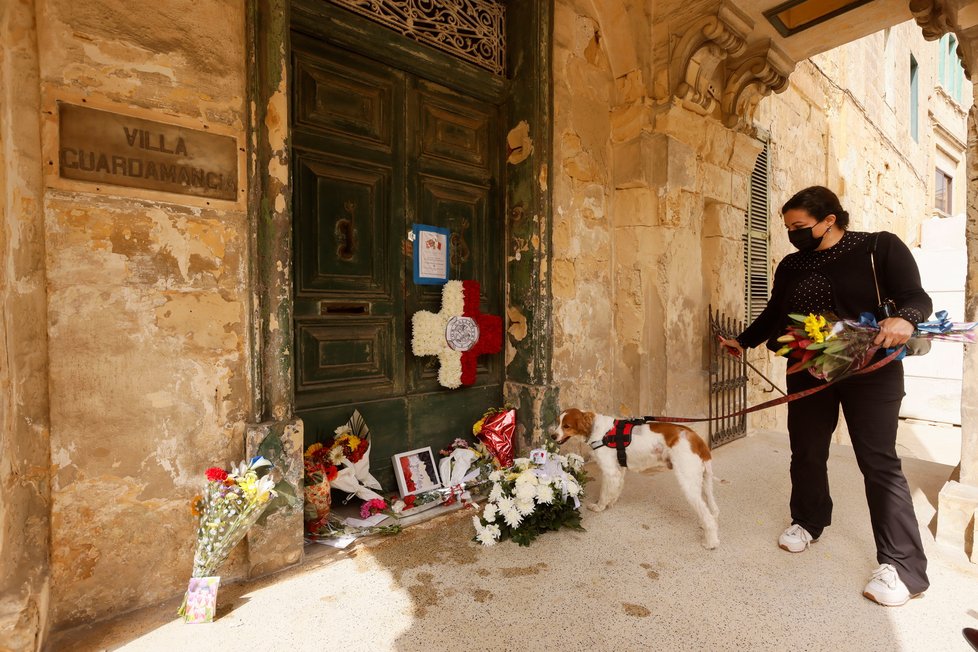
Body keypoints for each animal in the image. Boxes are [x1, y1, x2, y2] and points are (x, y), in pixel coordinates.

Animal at [548, 410, 716, 548]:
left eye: (566, 426)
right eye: (557, 422)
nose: (552, 436)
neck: (599, 431)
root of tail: (697, 439)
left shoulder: (610, 471)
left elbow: (604, 493)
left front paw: (599, 507)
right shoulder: (619, 470)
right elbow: (615, 490)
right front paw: (610, 504)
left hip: (688, 481)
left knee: (707, 514)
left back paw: (710, 542)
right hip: (703, 482)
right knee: (713, 510)